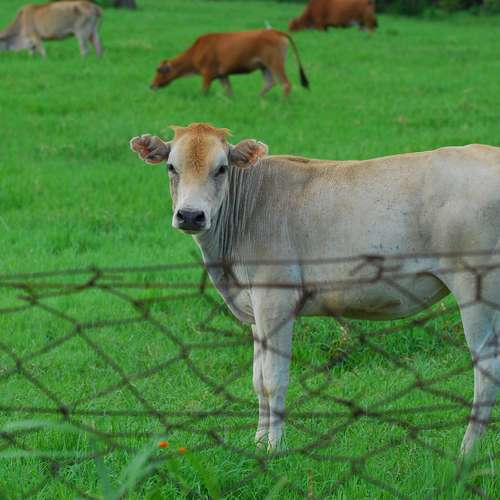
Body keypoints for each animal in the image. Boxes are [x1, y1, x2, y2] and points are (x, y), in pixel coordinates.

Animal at [129, 123, 500, 455]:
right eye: (171, 167)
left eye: (221, 169)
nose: (191, 215)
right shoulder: (255, 310)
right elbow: (256, 380)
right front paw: (257, 441)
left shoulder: (274, 300)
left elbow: (273, 379)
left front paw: (274, 448)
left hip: (475, 287)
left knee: (486, 368)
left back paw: (467, 450)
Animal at [150, 30, 309, 96]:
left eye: (159, 70)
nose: (151, 85)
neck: (196, 50)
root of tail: (276, 32)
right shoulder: (223, 75)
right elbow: (228, 90)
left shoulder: (207, 74)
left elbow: (203, 90)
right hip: (265, 67)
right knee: (269, 83)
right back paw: (257, 98)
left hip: (275, 64)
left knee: (286, 84)